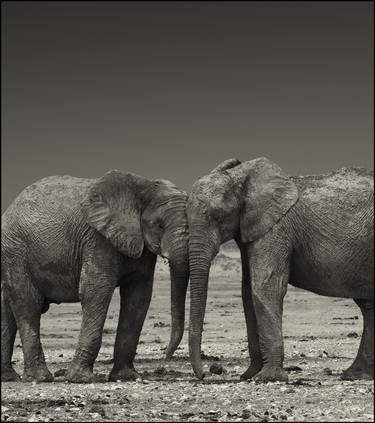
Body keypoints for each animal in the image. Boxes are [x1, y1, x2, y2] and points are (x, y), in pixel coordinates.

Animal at [2, 170, 191, 384]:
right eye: (159, 226)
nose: (167, 355)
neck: (145, 187)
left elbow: (138, 297)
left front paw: (126, 377)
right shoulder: (97, 239)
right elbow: (95, 290)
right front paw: (80, 379)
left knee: (8, 309)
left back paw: (9, 377)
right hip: (16, 252)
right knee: (28, 303)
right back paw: (40, 378)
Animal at [187, 157, 374, 382]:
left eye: (217, 216)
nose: (205, 374)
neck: (242, 177)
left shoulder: (276, 228)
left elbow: (265, 288)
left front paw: (267, 377)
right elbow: (248, 292)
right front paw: (249, 375)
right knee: (368, 306)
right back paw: (356, 375)